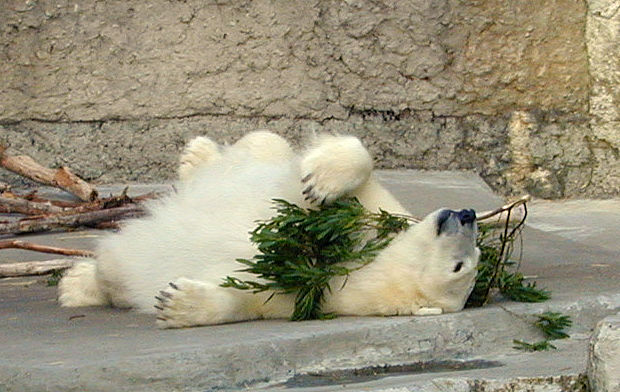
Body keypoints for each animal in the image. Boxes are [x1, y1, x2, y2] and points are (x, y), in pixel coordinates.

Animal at [59, 132, 480, 328]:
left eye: (461, 267)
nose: (467, 213)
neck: (369, 264)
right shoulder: (373, 211)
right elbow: (356, 171)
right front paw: (320, 181)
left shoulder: (323, 295)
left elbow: (252, 298)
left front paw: (178, 303)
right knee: (265, 144)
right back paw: (197, 157)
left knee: (114, 273)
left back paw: (76, 284)